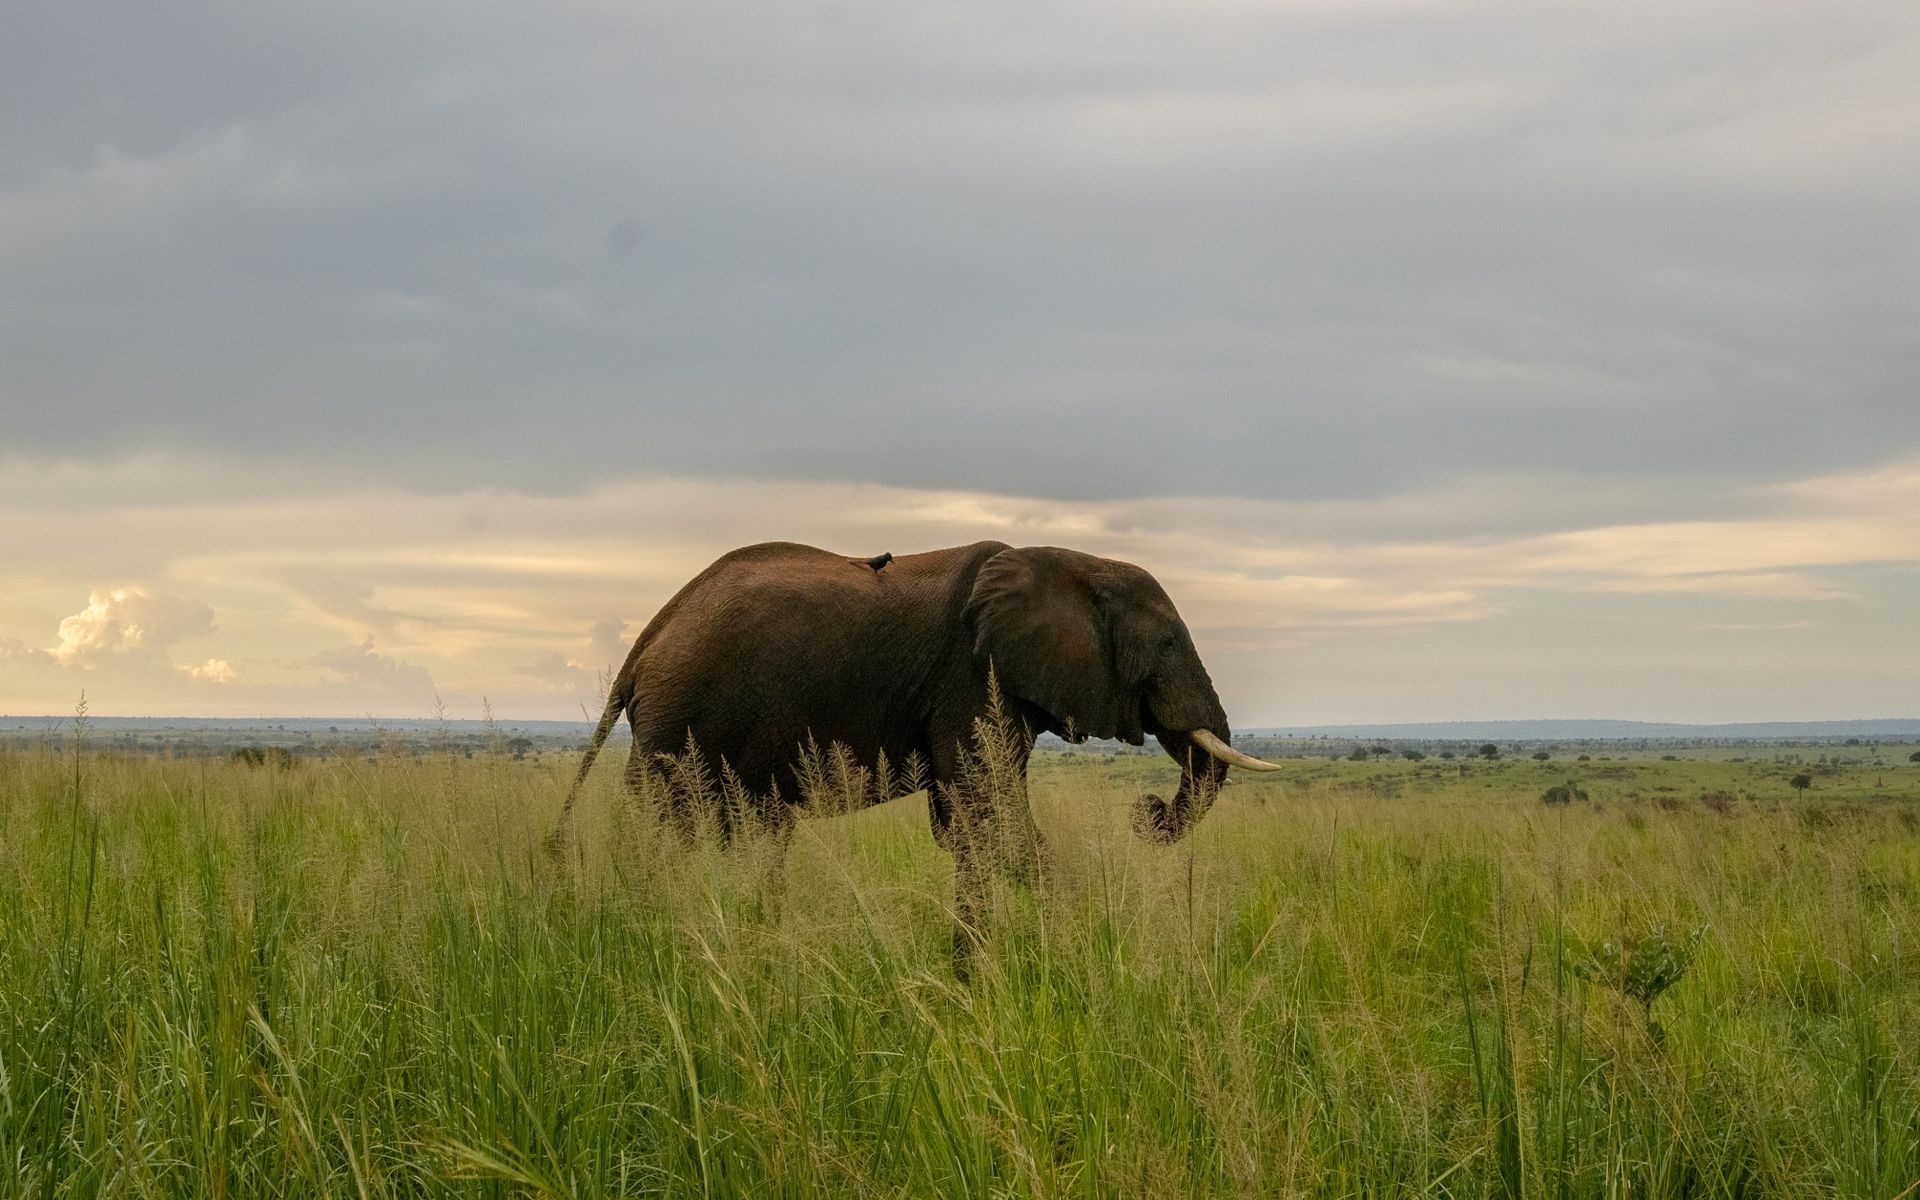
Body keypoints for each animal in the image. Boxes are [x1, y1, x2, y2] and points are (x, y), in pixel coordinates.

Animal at [549, 540, 1279, 953]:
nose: (1147, 808)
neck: (1069, 562)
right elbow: (993, 822)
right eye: (1168, 643)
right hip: (678, 724)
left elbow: (966, 828)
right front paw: (1058, 952)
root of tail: (647, 640)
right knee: (658, 832)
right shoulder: (971, 676)